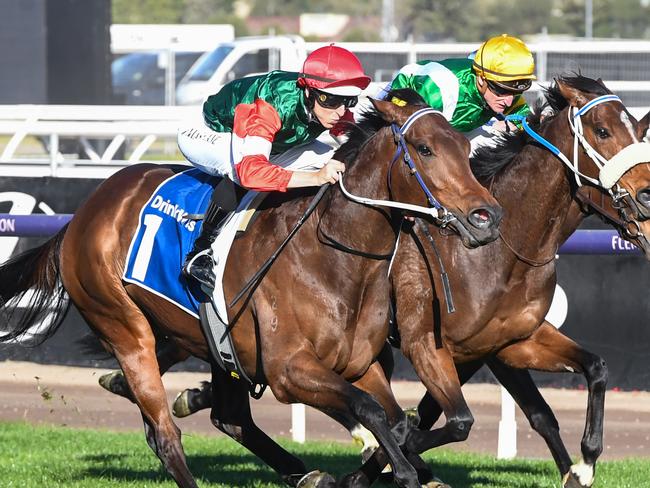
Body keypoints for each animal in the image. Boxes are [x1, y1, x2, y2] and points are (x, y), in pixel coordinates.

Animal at [0, 96, 502, 488]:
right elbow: (373, 413)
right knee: (164, 435)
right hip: (124, 327)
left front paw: (382, 467)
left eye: (466, 147)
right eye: (425, 149)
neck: (334, 257)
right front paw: (398, 471)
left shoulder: (361, 364)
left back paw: (305, 471)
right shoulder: (288, 370)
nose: (487, 217)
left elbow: (399, 420)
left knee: (229, 418)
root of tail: (81, 217)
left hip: (213, 342)